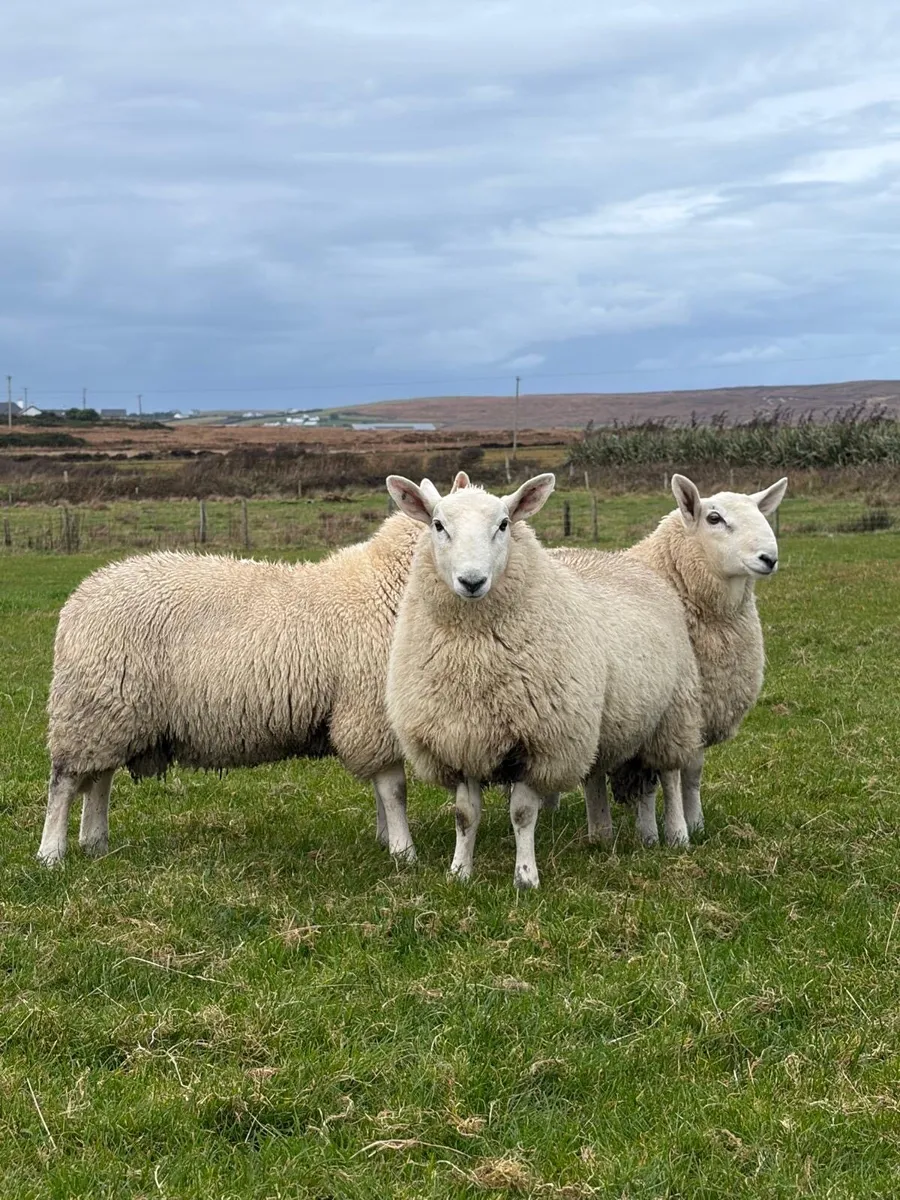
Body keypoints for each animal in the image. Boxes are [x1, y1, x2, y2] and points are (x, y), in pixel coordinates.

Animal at [37, 513, 425, 866]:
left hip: (112, 712)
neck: (387, 585)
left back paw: (95, 843)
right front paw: (403, 852)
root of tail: (82, 595)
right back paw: (51, 854)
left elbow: (382, 788)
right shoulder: (371, 711)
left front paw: (385, 839)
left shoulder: (374, 719)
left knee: (99, 778)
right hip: (89, 709)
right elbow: (393, 789)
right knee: (64, 783)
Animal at [384, 473, 703, 889]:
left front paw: (525, 877)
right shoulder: (462, 739)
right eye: (438, 525)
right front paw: (459, 872)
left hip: (674, 713)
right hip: (621, 724)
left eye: (504, 524)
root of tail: (622, 561)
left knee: (669, 774)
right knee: (630, 778)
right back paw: (626, 836)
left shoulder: (541, 742)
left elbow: (522, 813)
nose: (472, 581)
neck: (474, 657)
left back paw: (677, 834)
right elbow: (465, 815)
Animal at [555, 473, 788, 843]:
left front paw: (693, 823)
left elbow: (691, 772)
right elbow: (660, 777)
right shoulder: (671, 708)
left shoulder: (697, 709)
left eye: (759, 512)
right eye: (714, 518)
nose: (769, 558)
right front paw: (662, 833)